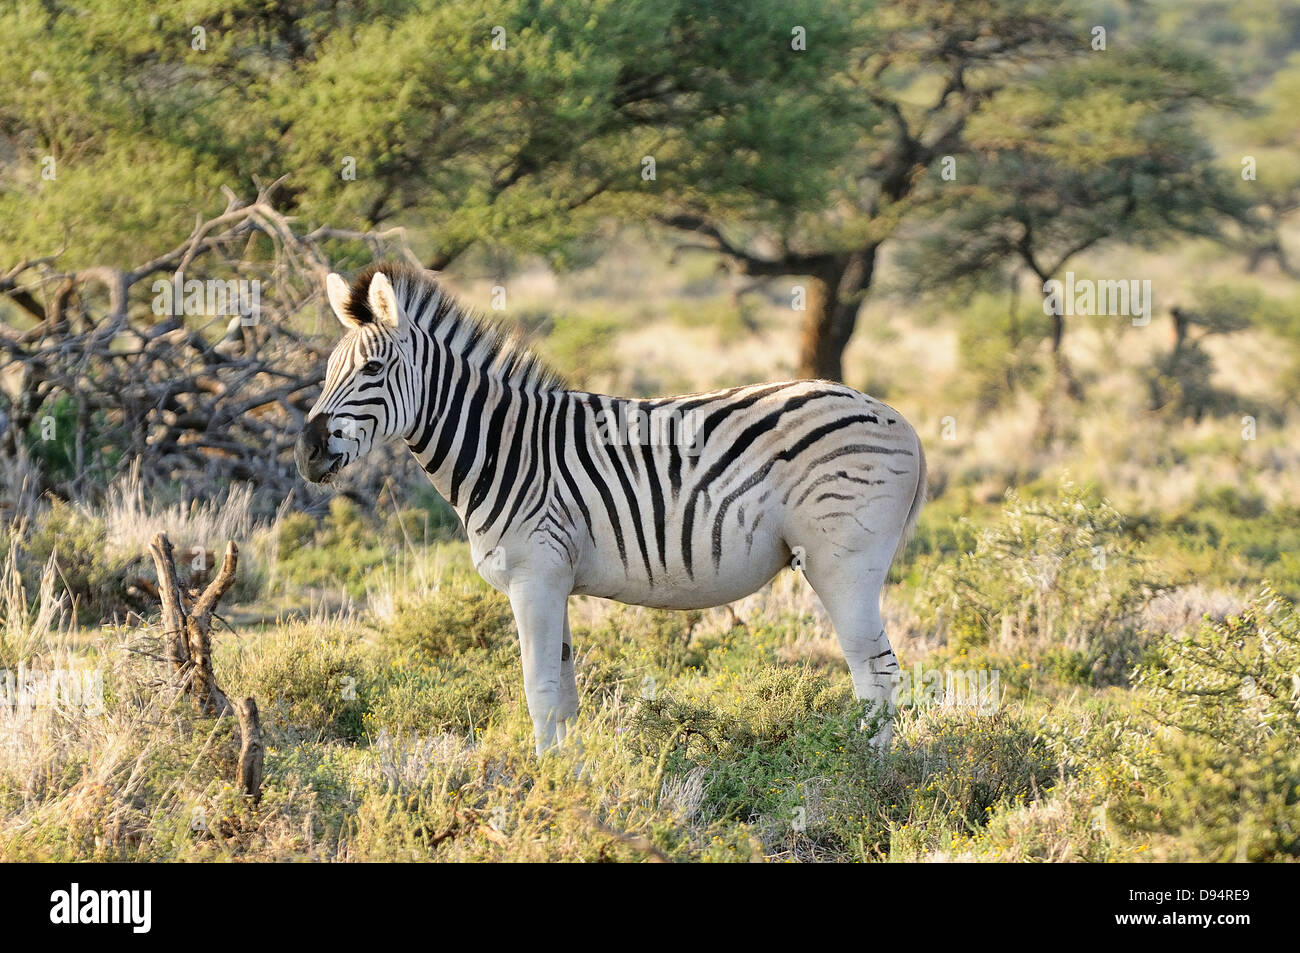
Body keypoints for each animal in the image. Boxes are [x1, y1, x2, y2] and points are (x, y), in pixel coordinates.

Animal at [295, 263, 925, 754]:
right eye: (326, 371)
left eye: (372, 371)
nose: (306, 452)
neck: (506, 448)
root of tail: (900, 418)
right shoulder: (555, 577)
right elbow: (565, 694)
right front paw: (571, 780)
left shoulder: (534, 576)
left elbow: (539, 691)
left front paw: (544, 790)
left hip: (841, 562)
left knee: (875, 670)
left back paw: (865, 775)